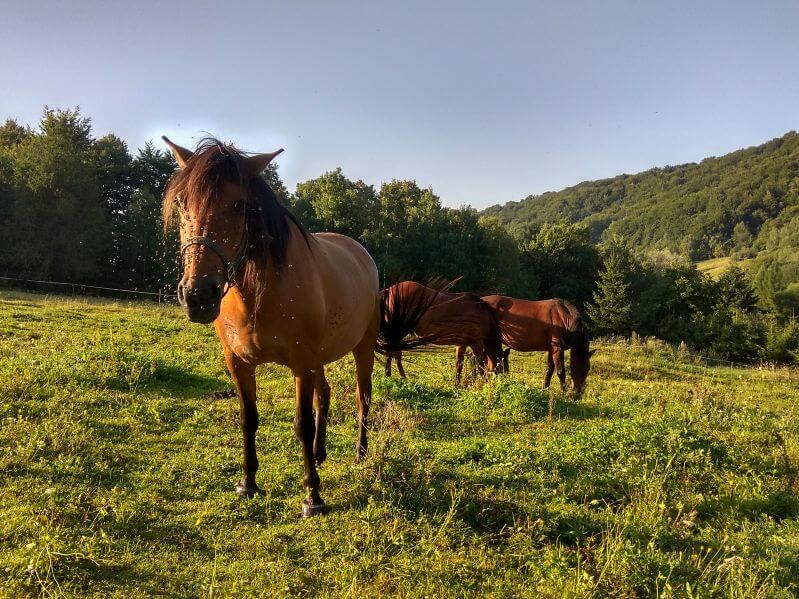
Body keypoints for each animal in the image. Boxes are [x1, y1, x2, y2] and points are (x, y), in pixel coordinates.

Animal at [162, 137, 436, 517]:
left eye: (238, 204)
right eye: (181, 202)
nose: (198, 296)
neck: (258, 294)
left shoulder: (301, 364)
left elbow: (302, 424)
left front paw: (313, 497)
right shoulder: (239, 363)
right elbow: (249, 418)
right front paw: (247, 483)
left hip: (361, 349)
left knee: (362, 397)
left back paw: (360, 454)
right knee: (326, 395)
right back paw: (319, 455)